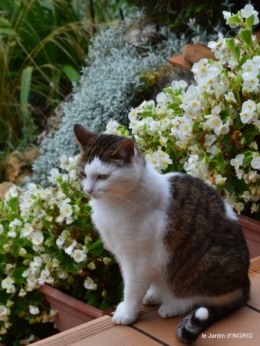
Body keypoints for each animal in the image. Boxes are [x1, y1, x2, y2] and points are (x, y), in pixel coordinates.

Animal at [73, 124, 250, 344]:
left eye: (103, 176)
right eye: (82, 173)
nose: (88, 190)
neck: (112, 205)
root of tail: (244, 283)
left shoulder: (138, 260)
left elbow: (132, 290)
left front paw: (127, 313)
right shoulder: (122, 256)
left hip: (202, 269)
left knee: (197, 298)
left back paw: (171, 305)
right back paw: (155, 295)